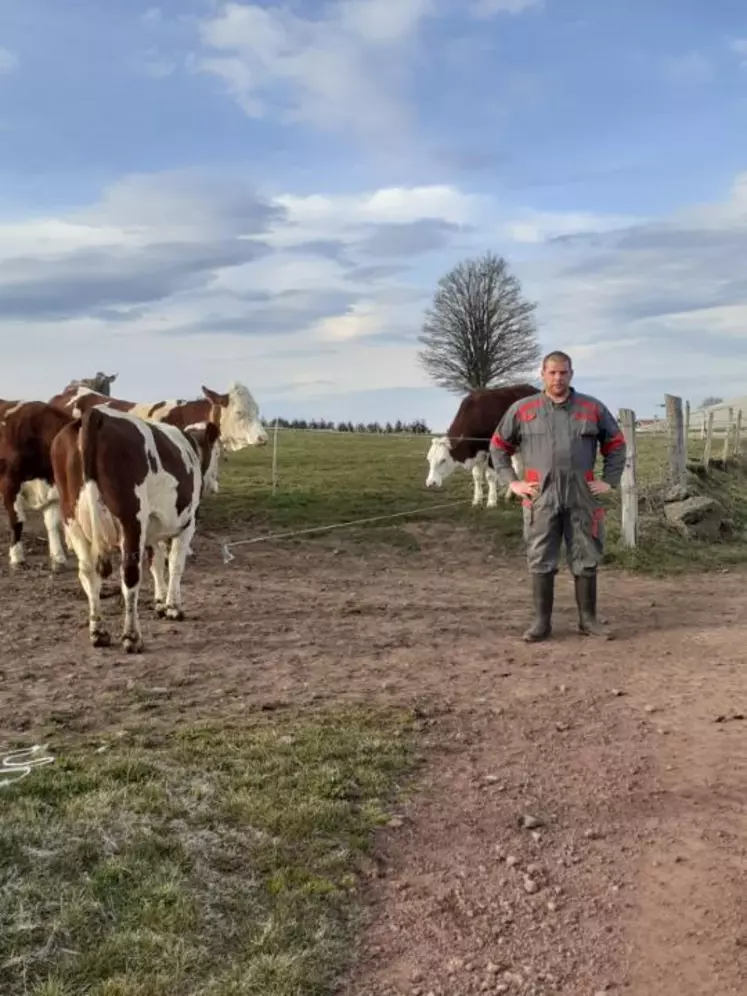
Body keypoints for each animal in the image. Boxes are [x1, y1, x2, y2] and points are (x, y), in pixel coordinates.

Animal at [0, 396, 72, 568]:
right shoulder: (9, 483)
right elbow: (17, 520)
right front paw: (17, 557)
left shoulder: (51, 489)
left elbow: (53, 524)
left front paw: (58, 557)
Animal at [51, 404, 222, 652]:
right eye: (218, 453)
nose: (216, 483)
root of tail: (95, 413)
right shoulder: (188, 524)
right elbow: (175, 565)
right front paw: (173, 607)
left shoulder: (151, 529)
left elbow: (156, 563)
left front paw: (160, 603)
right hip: (131, 520)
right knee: (130, 575)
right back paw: (132, 636)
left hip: (73, 522)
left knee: (88, 574)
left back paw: (98, 632)